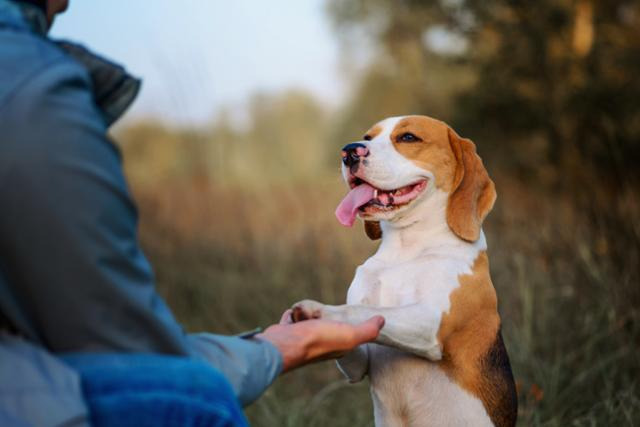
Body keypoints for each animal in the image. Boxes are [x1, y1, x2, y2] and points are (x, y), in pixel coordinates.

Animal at [292, 116, 516, 427]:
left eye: (408, 137)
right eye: (368, 137)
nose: (349, 152)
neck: (406, 248)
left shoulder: (431, 322)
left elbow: (363, 311)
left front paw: (320, 311)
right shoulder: (360, 363)